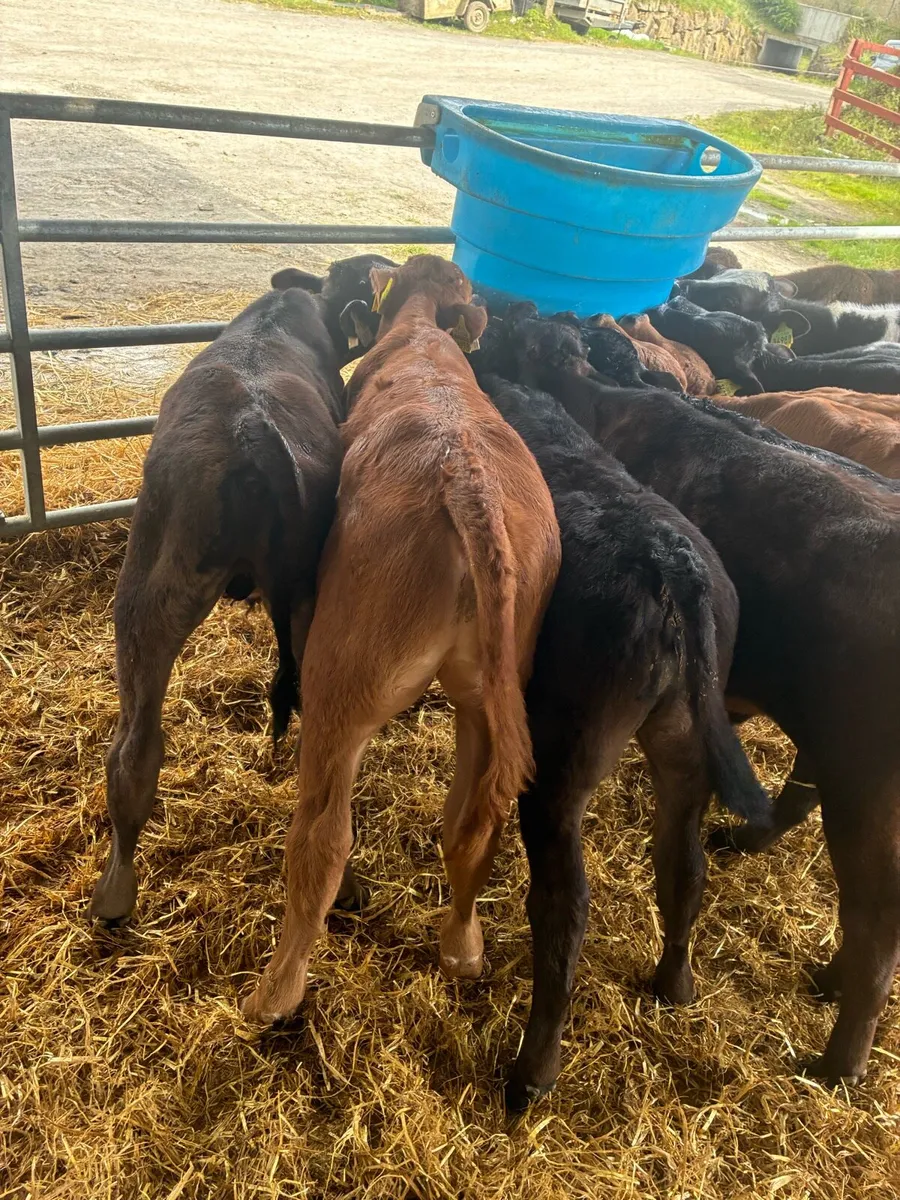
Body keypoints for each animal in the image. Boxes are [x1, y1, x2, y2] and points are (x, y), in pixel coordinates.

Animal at [240, 255, 561, 1024]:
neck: (419, 332)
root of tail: (466, 477)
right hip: (489, 695)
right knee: (472, 826)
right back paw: (462, 949)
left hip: (345, 679)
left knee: (322, 837)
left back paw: (275, 994)